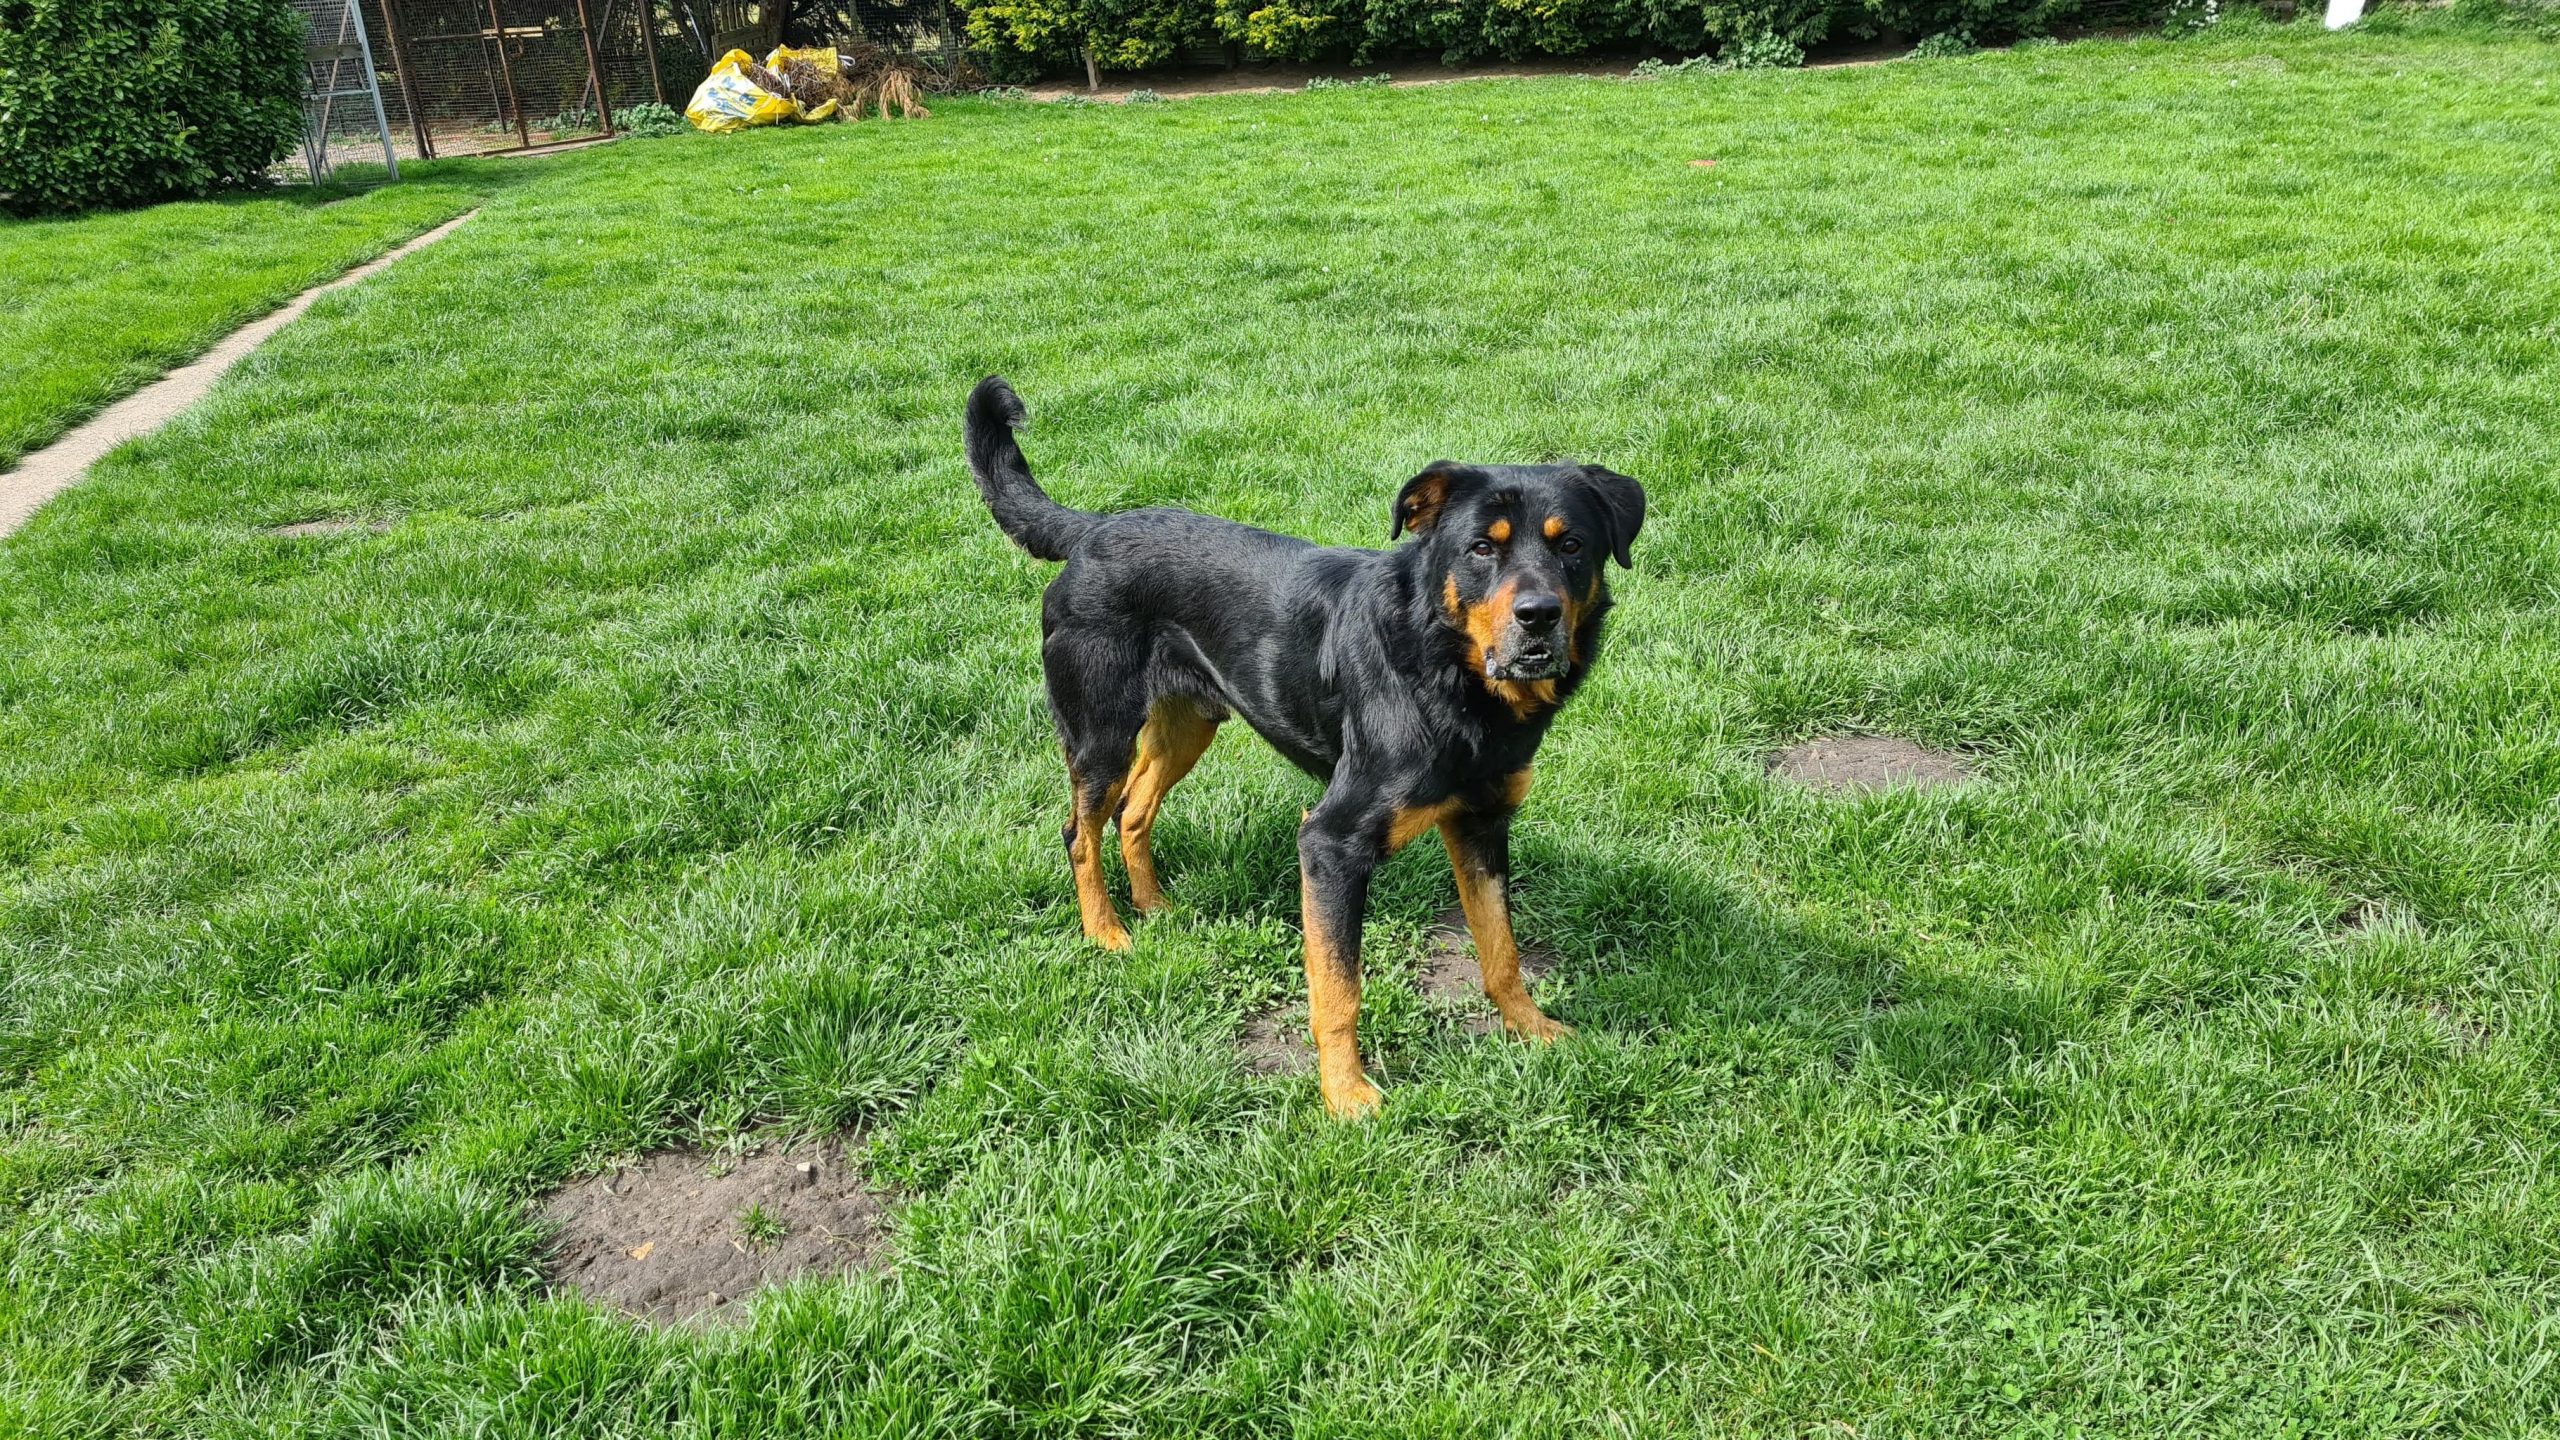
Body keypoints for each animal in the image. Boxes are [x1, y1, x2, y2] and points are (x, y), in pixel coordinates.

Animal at [965, 377, 1643, 1118]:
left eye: (1571, 545)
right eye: (1481, 550)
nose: (1539, 617)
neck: (1443, 669)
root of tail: (1091, 531)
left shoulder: (1483, 823)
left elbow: (1502, 948)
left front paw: (1531, 1028)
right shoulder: (1331, 843)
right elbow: (1338, 987)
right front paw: (1347, 1095)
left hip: (1189, 722)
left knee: (1133, 809)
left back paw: (1155, 908)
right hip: (1101, 731)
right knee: (1079, 830)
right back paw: (1106, 932)